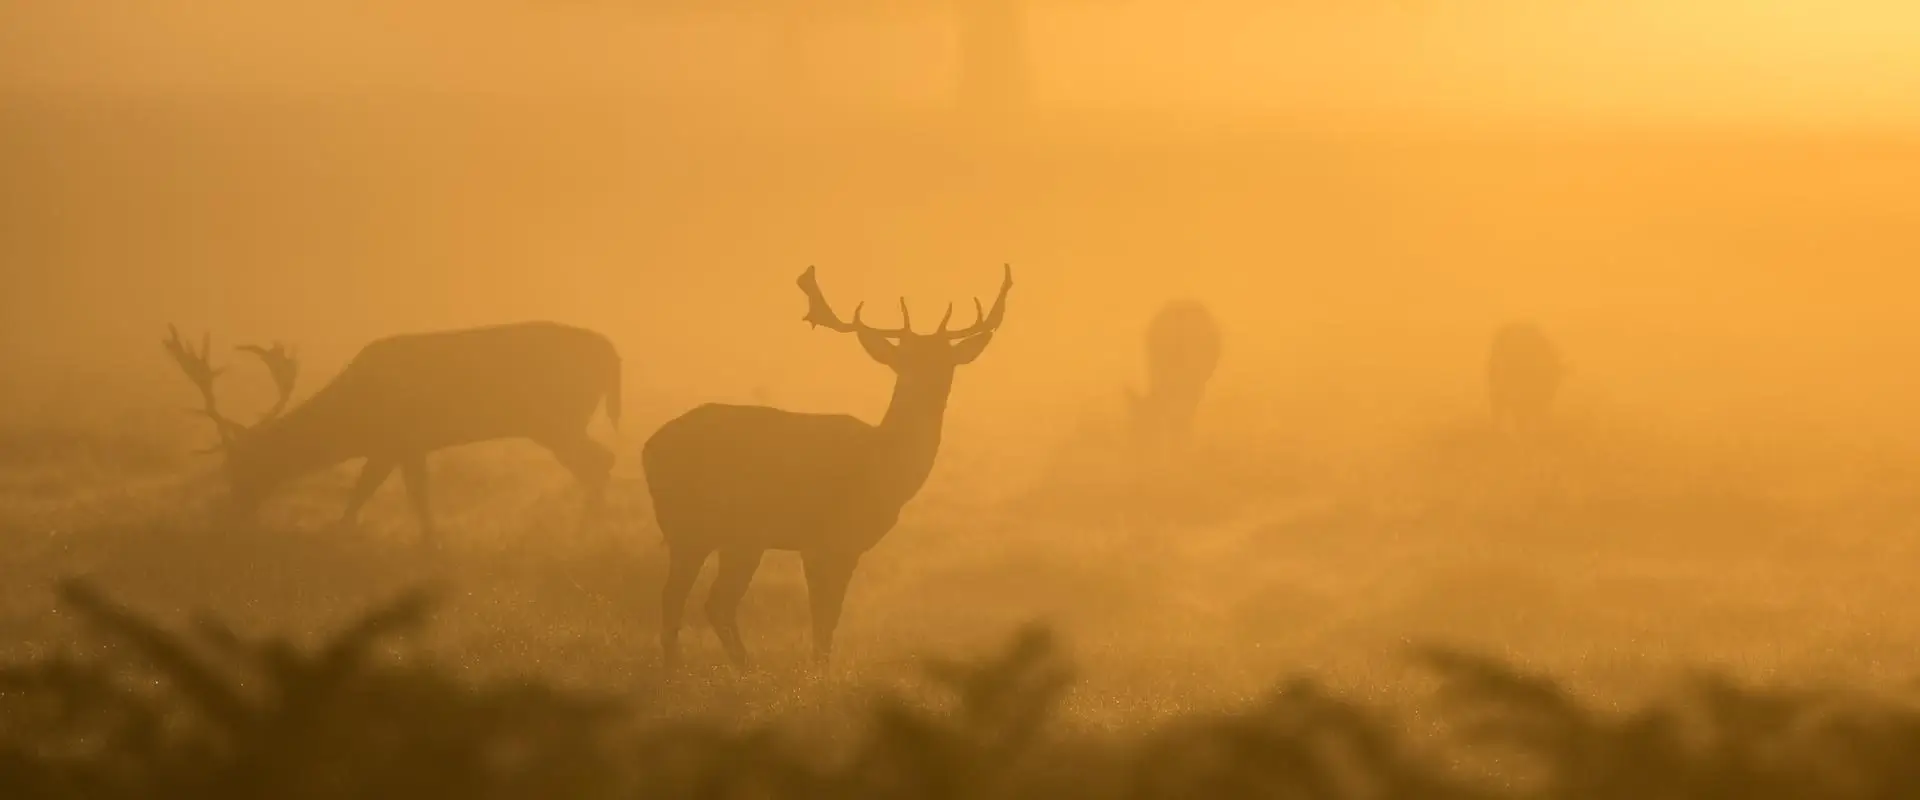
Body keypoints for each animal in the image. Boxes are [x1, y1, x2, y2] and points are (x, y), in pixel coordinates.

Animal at [163, 320, 622, 541]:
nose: (229, 513)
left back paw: (586, 532)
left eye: (243, 465)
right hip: (560, 422)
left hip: (557, 419)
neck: (355, 419)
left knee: (598, 460)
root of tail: (612, 352)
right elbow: (388, 491)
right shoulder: (396, 446)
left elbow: (385, 492)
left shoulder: (400, 439)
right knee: (600, 460)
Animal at [641, 260, 1021, 667]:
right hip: (711, 527)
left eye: (946, 360)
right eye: (902, 359)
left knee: (695, 599)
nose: (925, 386)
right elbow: (825, 618)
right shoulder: (829, 539)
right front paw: (819, 671)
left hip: (718, 534)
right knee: (697, 599)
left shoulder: (835, 545)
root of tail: (648, 448)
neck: (884, 466)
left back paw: (711, 665)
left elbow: (827, 619)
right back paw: (717, 666)